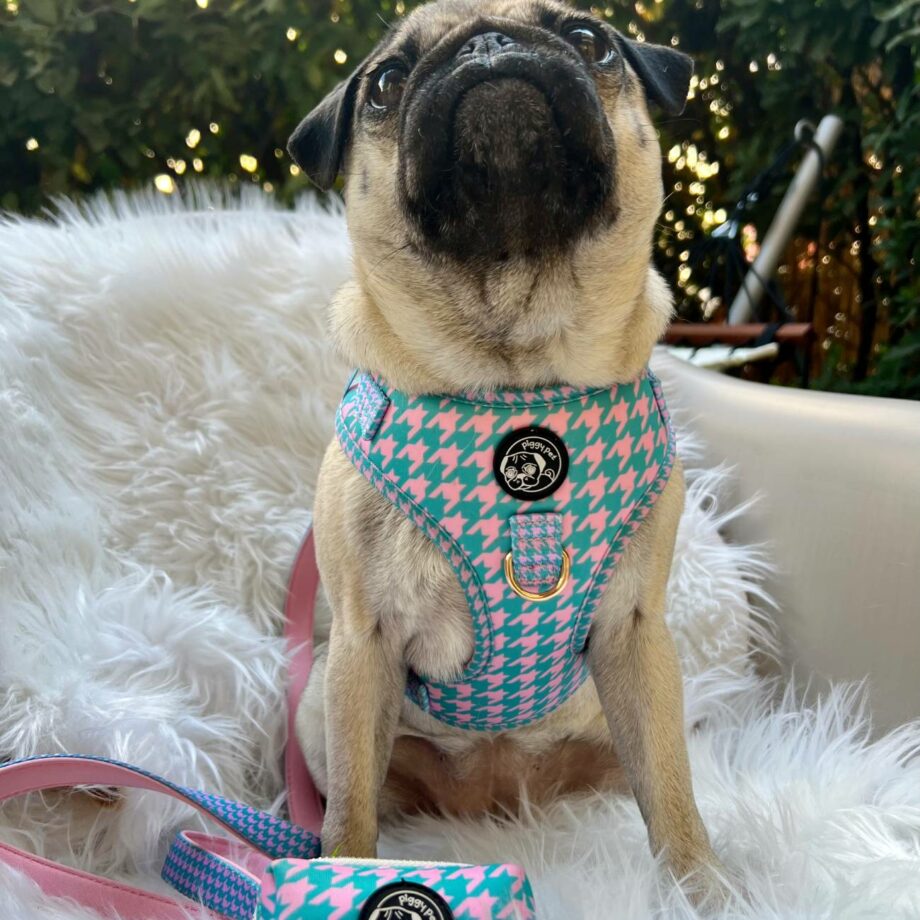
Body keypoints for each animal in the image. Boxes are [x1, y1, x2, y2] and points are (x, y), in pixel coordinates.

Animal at [289, 0, 726, 897]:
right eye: (387, 81)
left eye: (590, 39)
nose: (488, 42)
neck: (518, 383)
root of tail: (494, 800)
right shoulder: (362, 645)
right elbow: (349, 815)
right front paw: (341, 874)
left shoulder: (637, 635)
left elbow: (672, 795)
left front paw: (701, 889)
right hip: (321, 701)